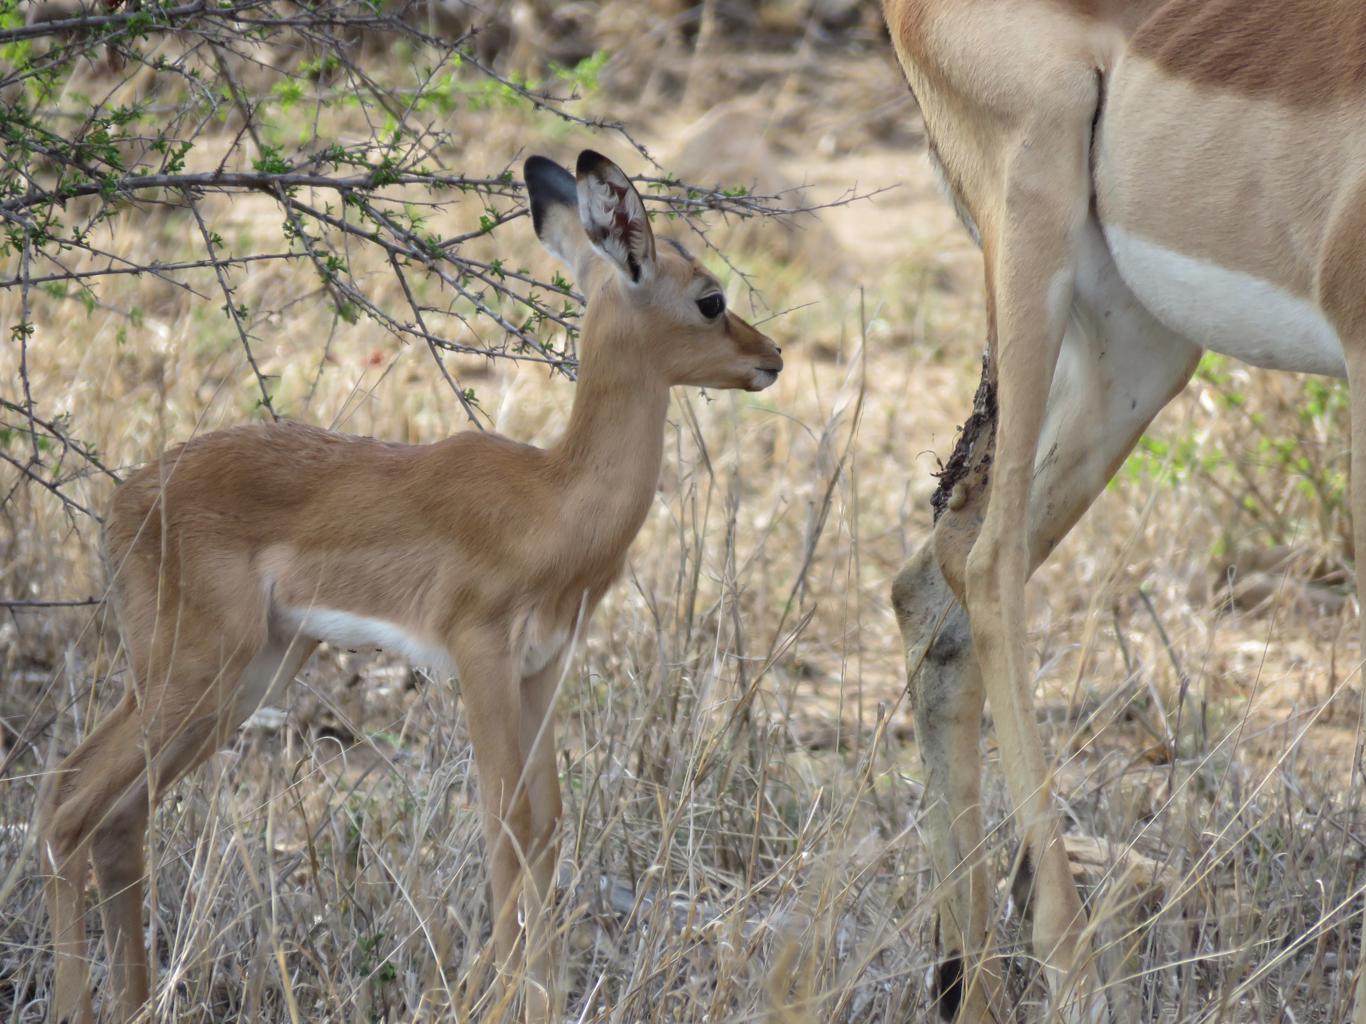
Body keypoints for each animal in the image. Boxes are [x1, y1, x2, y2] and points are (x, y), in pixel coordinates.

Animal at [38, 149, 783, 1024]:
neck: (556, 500)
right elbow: (507, 819)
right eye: (710, 298)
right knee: (68, 801)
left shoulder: (542, 669)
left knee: (119, 819)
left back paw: (134, 1000)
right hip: (194, 673)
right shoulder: (481, 656)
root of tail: (123, 499)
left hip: (247, 677)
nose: (771, 358)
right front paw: (494, 998)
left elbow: (548, 823)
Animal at [882, 1, 1366, 1021]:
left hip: (1139, 350)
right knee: (986, 570)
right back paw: (1075, 976)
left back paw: (973, 991)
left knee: (933, 581)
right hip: (1034, 233)